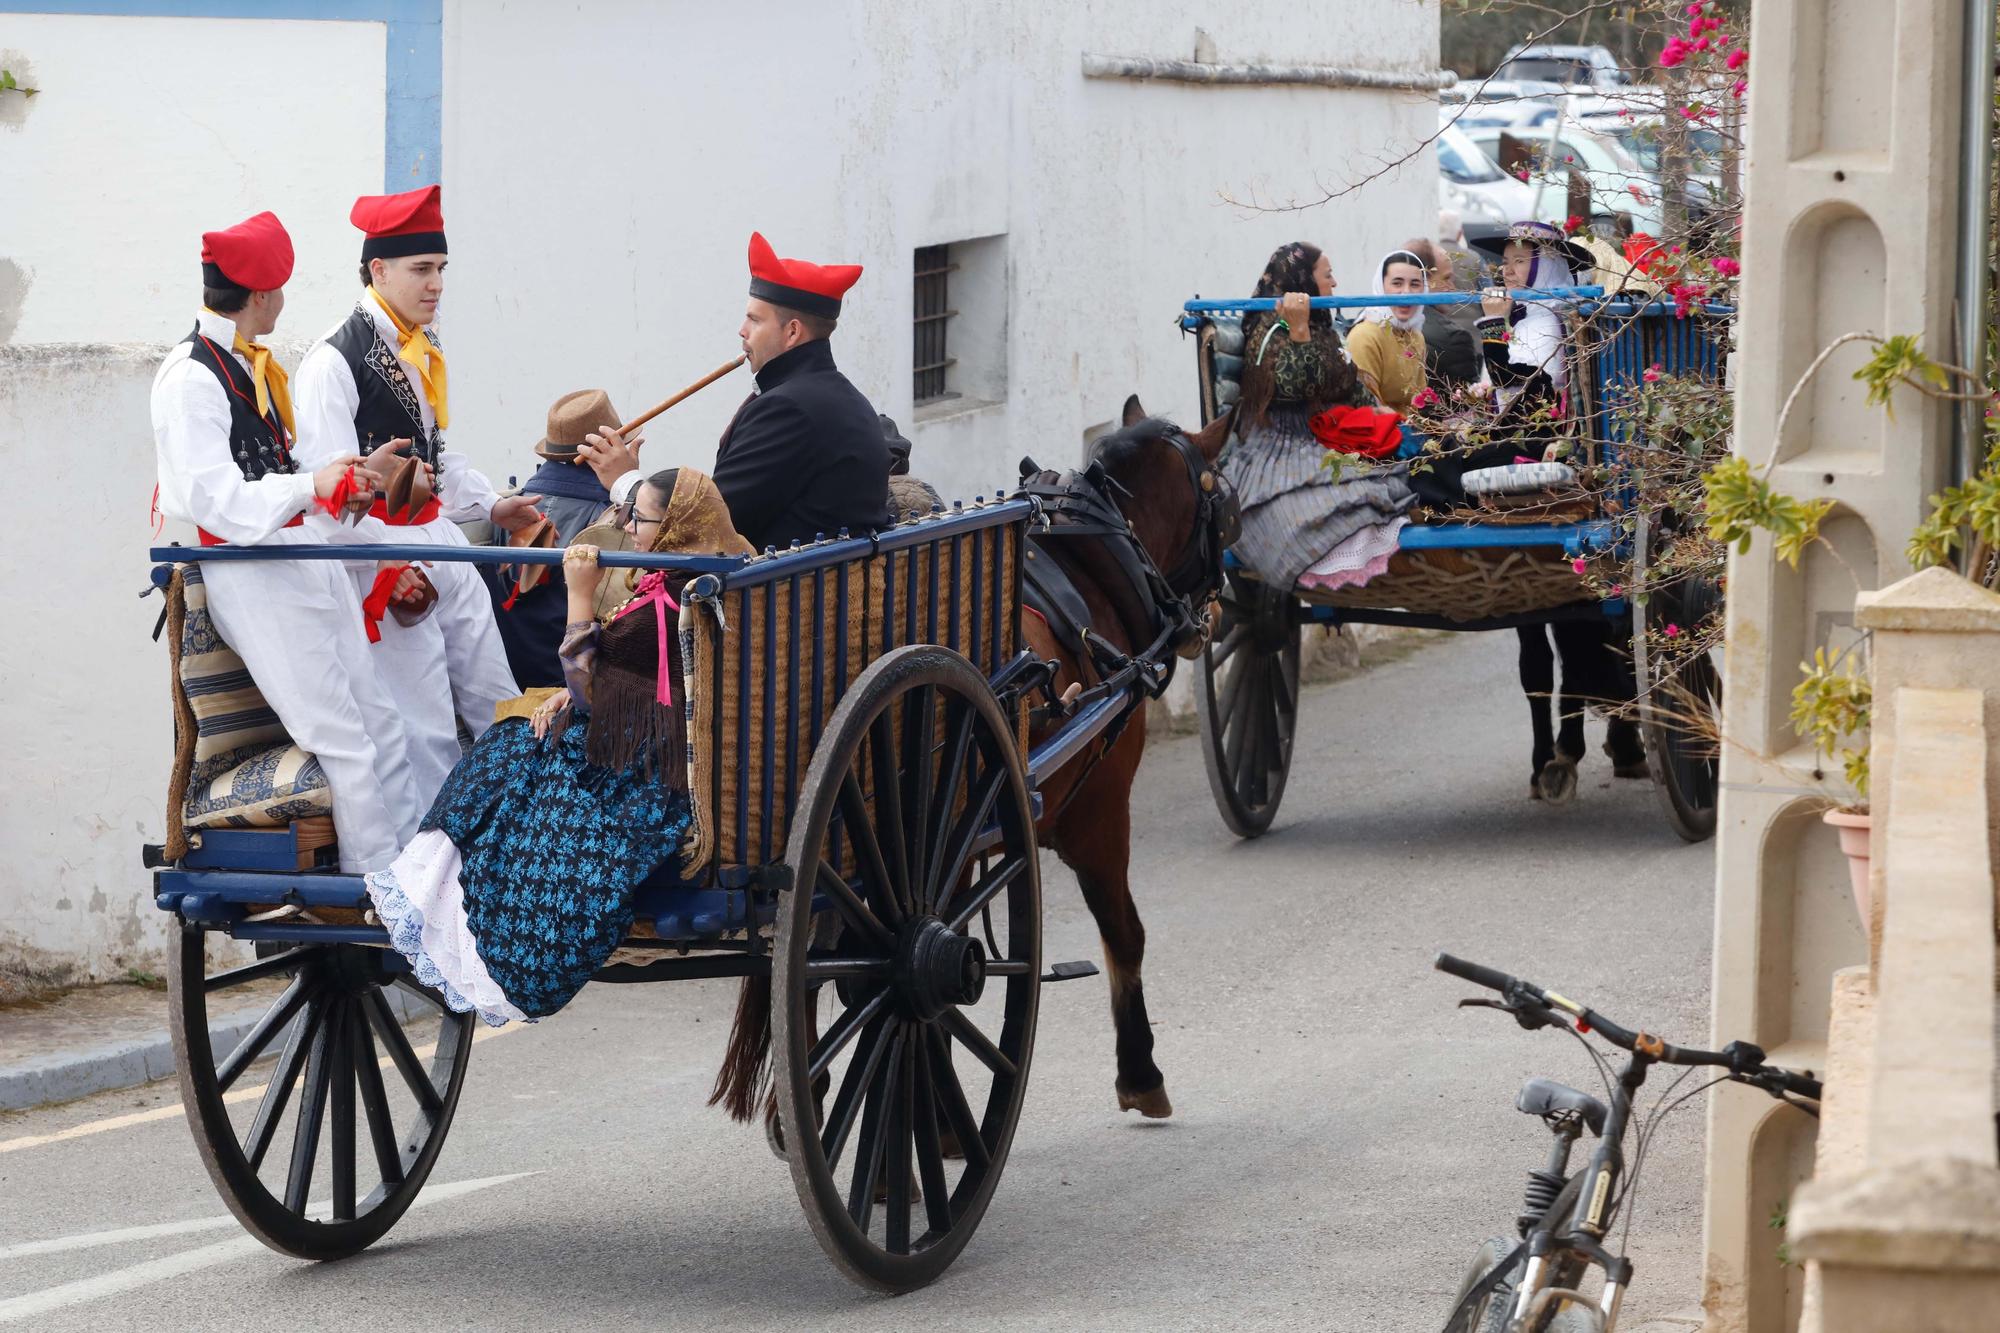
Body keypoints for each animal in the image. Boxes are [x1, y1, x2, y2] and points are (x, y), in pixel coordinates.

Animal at [704, 392, 1232, 1120]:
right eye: (1224, 503)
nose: (1211, 615)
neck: (1092, 566)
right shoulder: (1098, 814)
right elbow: (1124, 932)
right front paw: (1140, 1073)